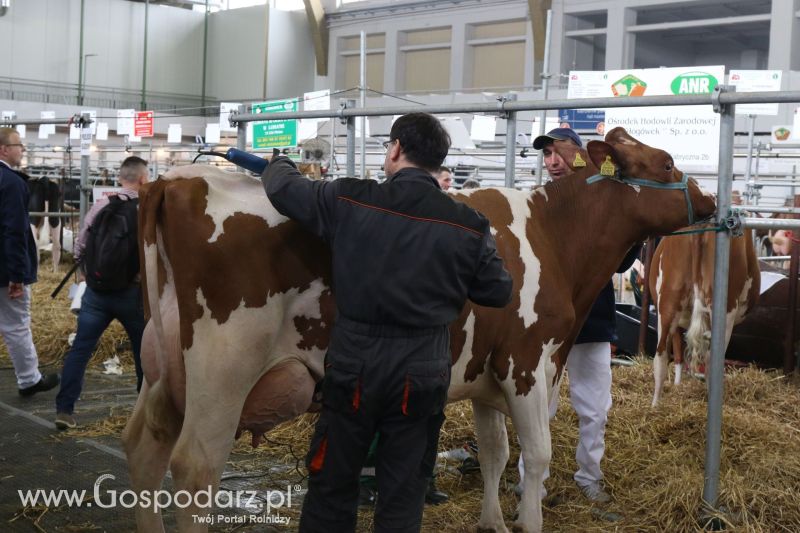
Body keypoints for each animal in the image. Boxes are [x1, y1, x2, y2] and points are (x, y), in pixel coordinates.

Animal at [122, 129, 716, 532]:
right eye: (666, 162)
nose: (710, 199)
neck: (556, 237)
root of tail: (177, 181)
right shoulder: (529, 362)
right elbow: (537, 455)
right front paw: (526, 522)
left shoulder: (484, 374)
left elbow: (495, 451)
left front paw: (491, 523)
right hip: (223, 370)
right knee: (194, 468)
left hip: (163, 368)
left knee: (143, 448)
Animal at [648, 230, 760, 408]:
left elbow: (678, 352)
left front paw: (677, 385)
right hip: (725, 309)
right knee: (711, 360)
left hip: (668, 301)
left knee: (661, 355)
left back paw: (654, 407)